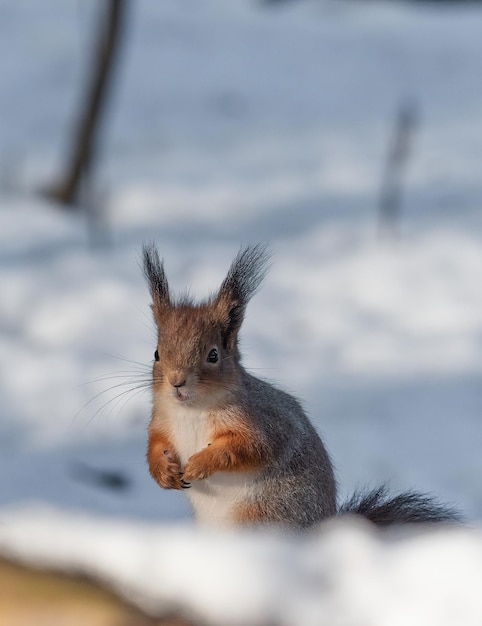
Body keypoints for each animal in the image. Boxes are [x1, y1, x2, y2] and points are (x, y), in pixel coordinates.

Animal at [143, 243, 460, 528]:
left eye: (213, 355)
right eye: (157, 353)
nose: (176, 381)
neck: (192, 410)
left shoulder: (263, 423)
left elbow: (249, 448)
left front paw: (201, 463)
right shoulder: (161, 422)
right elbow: (154, 447)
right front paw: (163, 472)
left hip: (261, 515)